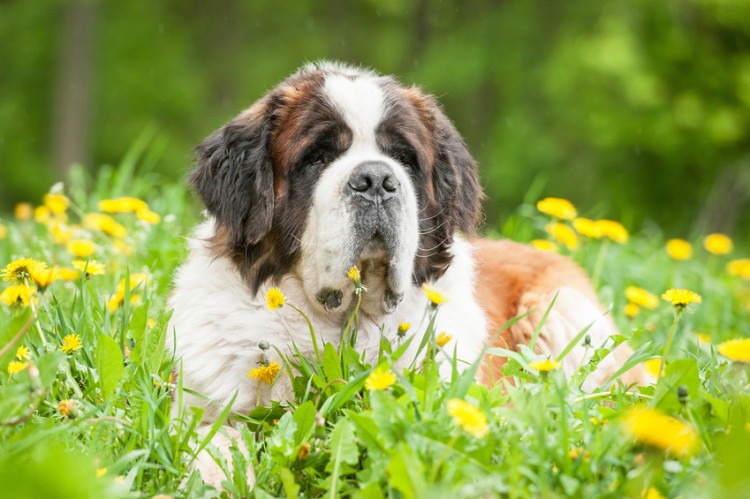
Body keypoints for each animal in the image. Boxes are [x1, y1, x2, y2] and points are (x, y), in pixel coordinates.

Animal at [167, 60, 648, 486]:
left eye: (404, 158)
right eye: (317, 158)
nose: (376, 180)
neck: (341, 328)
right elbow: (210, 440)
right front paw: (217, 475)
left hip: (562, 308)